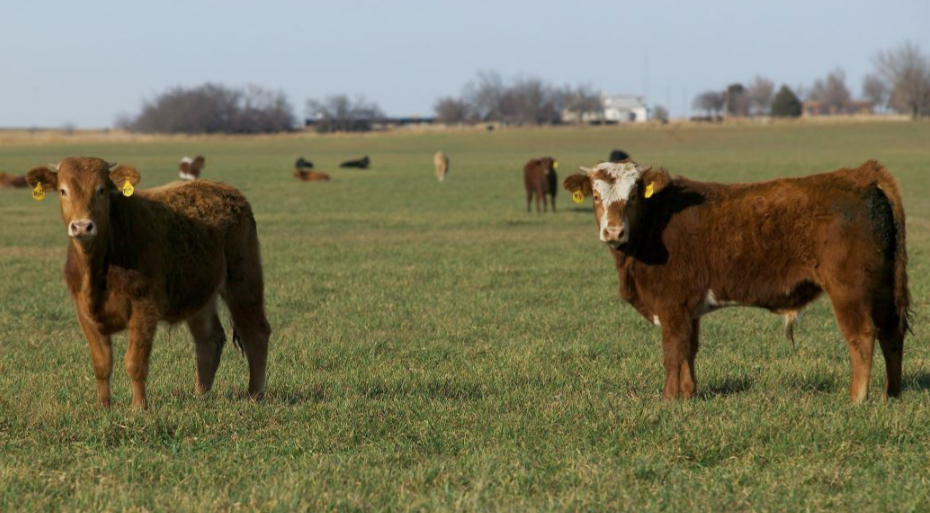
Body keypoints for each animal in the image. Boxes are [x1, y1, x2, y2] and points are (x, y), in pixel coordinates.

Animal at [26, 157, 271, 409]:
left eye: (101, 190)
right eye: (63, 190)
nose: (82, 226)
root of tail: (230, 192)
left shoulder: (144, 307)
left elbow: (135, 362)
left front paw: (138, 407)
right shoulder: (85, 312)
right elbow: (102, 363)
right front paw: (103, 406)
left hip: (244, 282)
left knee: (255, 332)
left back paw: (255, 395)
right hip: (199, 294)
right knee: (209, 339)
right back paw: (200, 395)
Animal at [562, 159, 909, 403]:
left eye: (633, 194)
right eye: (595, 196)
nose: (613, 231)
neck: (655, 224)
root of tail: (862, 174)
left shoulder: (672, 304)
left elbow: (673, 351)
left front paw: (669, 398)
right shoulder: (689, 308)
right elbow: (690, 349)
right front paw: (689, 394)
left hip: (849, 288)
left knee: (862, 336)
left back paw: (857, 398)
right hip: (882, 286)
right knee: (892, 334)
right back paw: (891, 394)